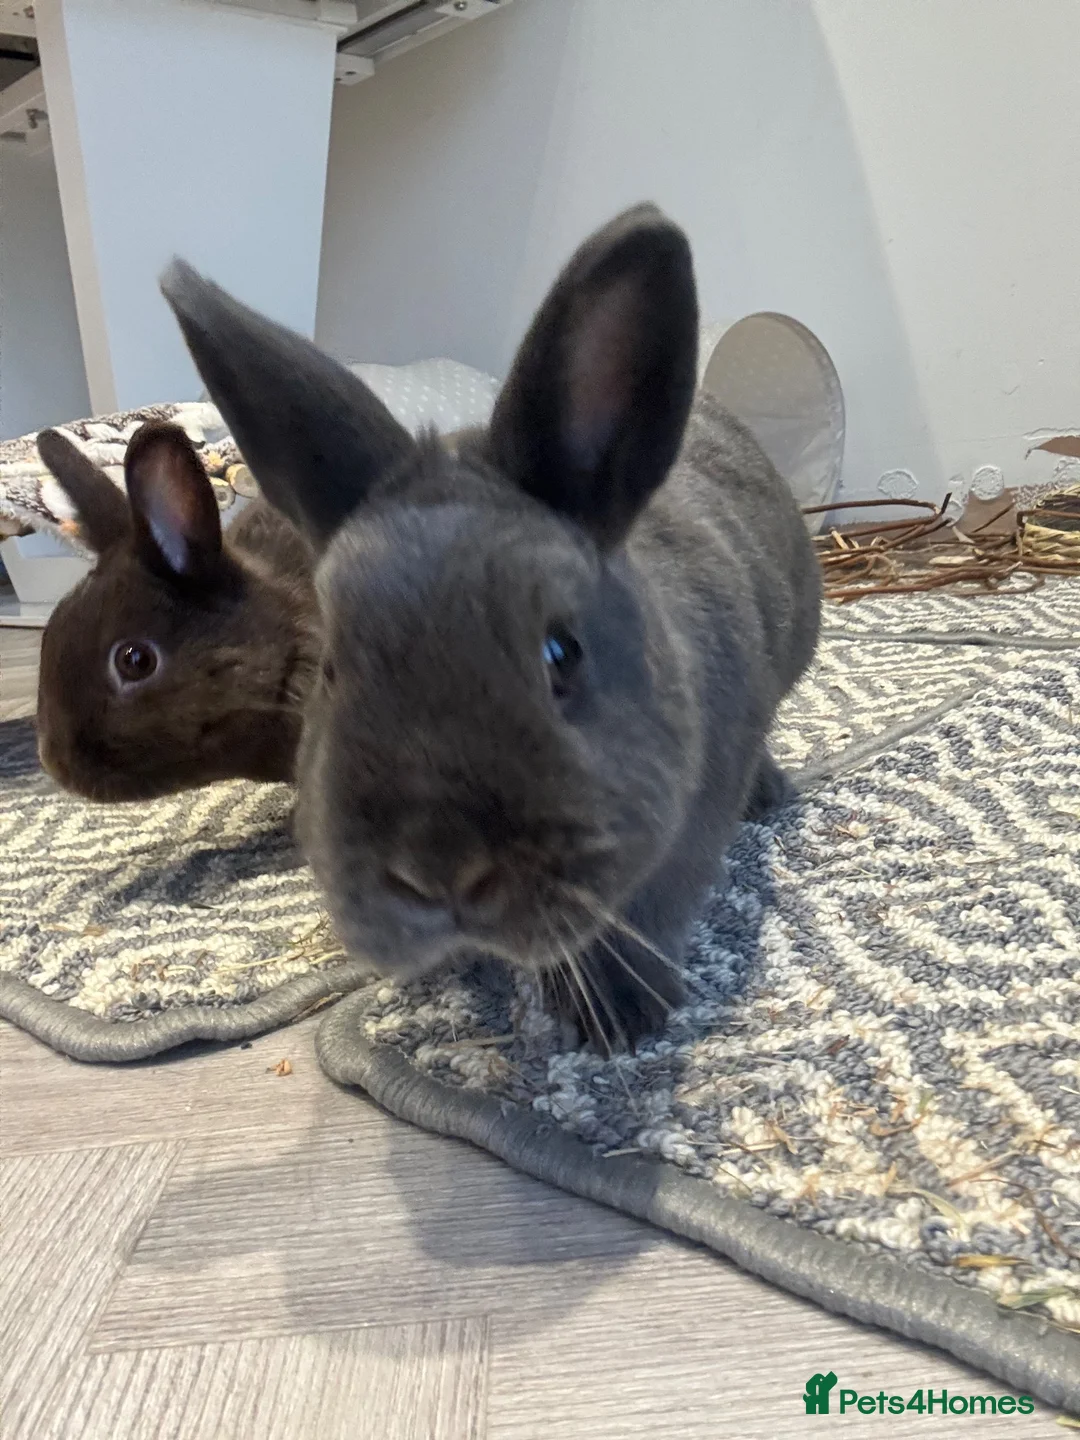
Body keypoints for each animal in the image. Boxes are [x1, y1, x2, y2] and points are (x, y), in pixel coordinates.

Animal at [160, 204, 822, 1050]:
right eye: (332, 670)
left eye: (561, 654)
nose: (437, 869)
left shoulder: (685, 838)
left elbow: (646, 917)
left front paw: (623, 1017)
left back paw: (770, 793)